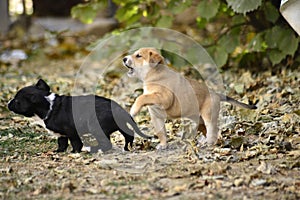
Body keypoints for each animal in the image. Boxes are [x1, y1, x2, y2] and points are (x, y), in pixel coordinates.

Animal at [7, 79, 152, 152]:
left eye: (17, 101)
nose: (8, 103)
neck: (48, 105)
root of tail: (118, 109)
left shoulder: (72, 132)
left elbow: (76, 144)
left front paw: (74, 153)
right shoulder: (61, 135)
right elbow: (62, 144)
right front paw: (58, 152)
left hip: (96, 127)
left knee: (107, 143)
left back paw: (96, 149)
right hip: (120, 126)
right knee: (128, 135)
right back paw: (127, 147)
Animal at [122, 47, 255, 149]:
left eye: (138, 56)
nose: (124, 59)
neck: (154, 74)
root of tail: (216, 94)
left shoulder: (165, 97)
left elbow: (142, 97)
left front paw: (133, 109)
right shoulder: (156, 116)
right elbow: (161, 133)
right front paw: (163, 145)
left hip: (208, 115)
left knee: (212, 129)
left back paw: (209, 143)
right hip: (199, 119)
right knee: (206, 130)